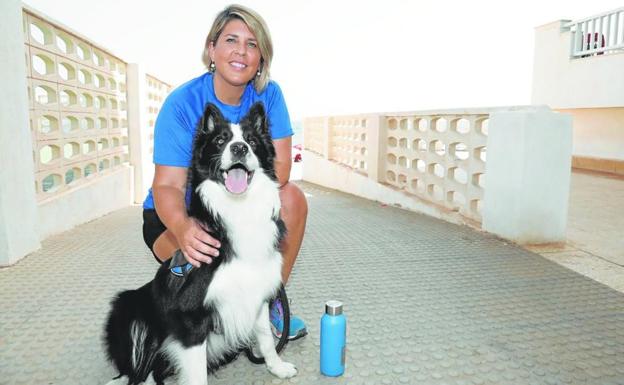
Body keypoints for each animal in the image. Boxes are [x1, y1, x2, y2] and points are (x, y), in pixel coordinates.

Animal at [103, 102, 298, 384]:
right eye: (220, 140)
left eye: (251, 141)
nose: (239, 148)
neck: (238, 209)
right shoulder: (191, 318)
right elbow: (196, 374)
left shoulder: (258, 293)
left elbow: (265, 338)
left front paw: (277, 367)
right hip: (126, 308)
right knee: (135, 369)